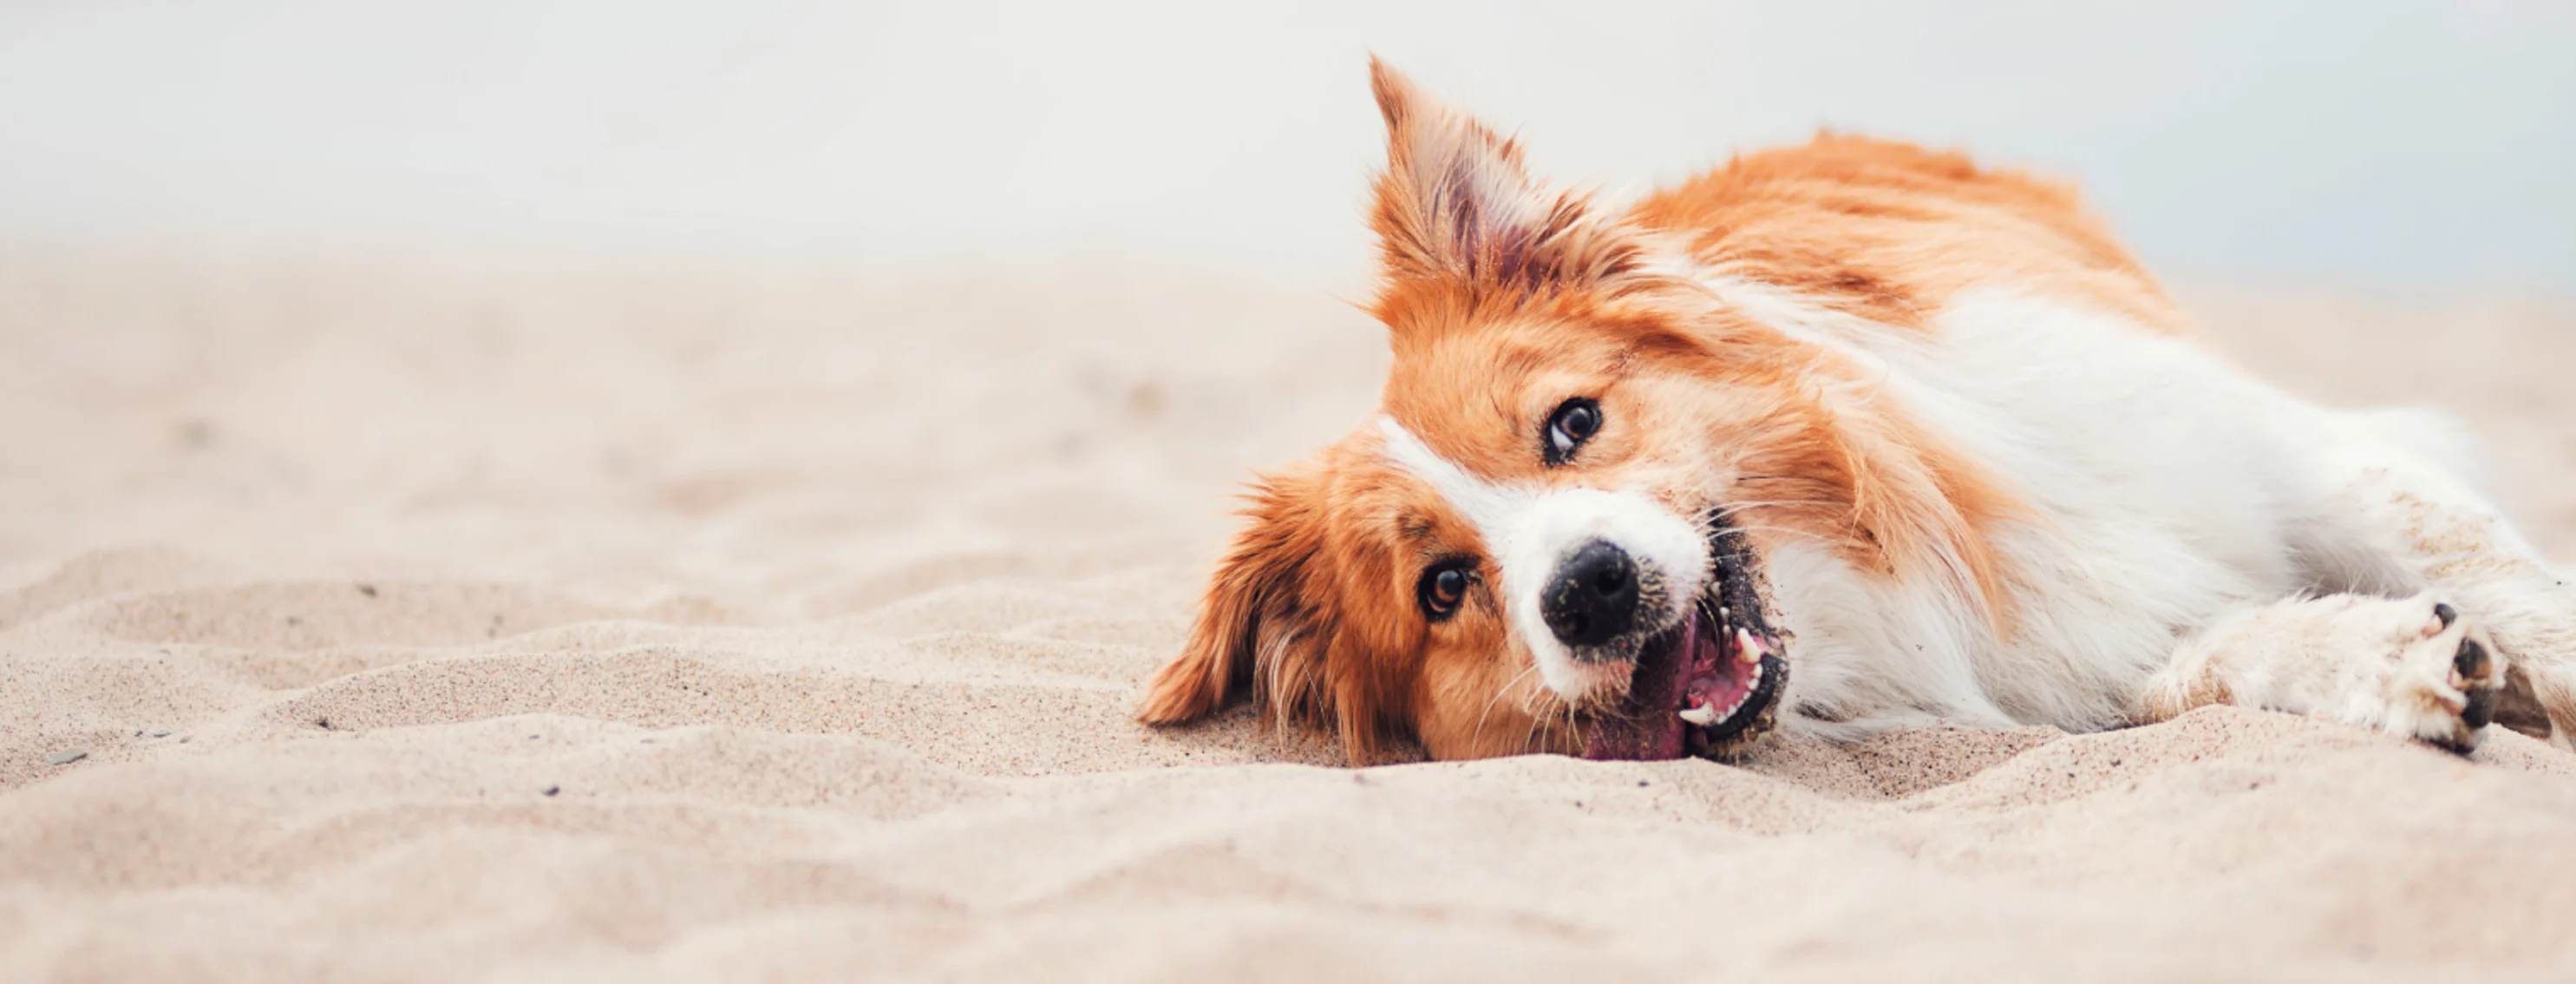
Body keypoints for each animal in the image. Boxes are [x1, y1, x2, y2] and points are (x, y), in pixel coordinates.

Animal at [1138, 61, 2566, 762]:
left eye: (1570, 424)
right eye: (1443, 589)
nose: (1587, 591)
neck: (1862, 585)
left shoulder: (2294, 453)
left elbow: (2511, 586)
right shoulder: (2094, 657)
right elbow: (2236, 659)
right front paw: (2400, 664)